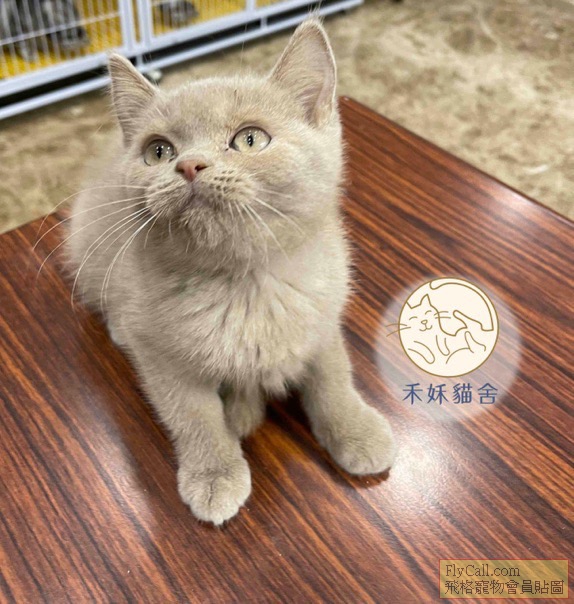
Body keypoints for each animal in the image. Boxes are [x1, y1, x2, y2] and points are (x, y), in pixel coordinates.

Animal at [64, 20, 396, 525]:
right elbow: (194, 417)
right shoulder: (164, 359)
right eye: (158, 151)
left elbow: (334, 376)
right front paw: (214, 474)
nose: (188, 165)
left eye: (250, 139)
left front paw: (356, 430)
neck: (246, 285)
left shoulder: (321, 318)